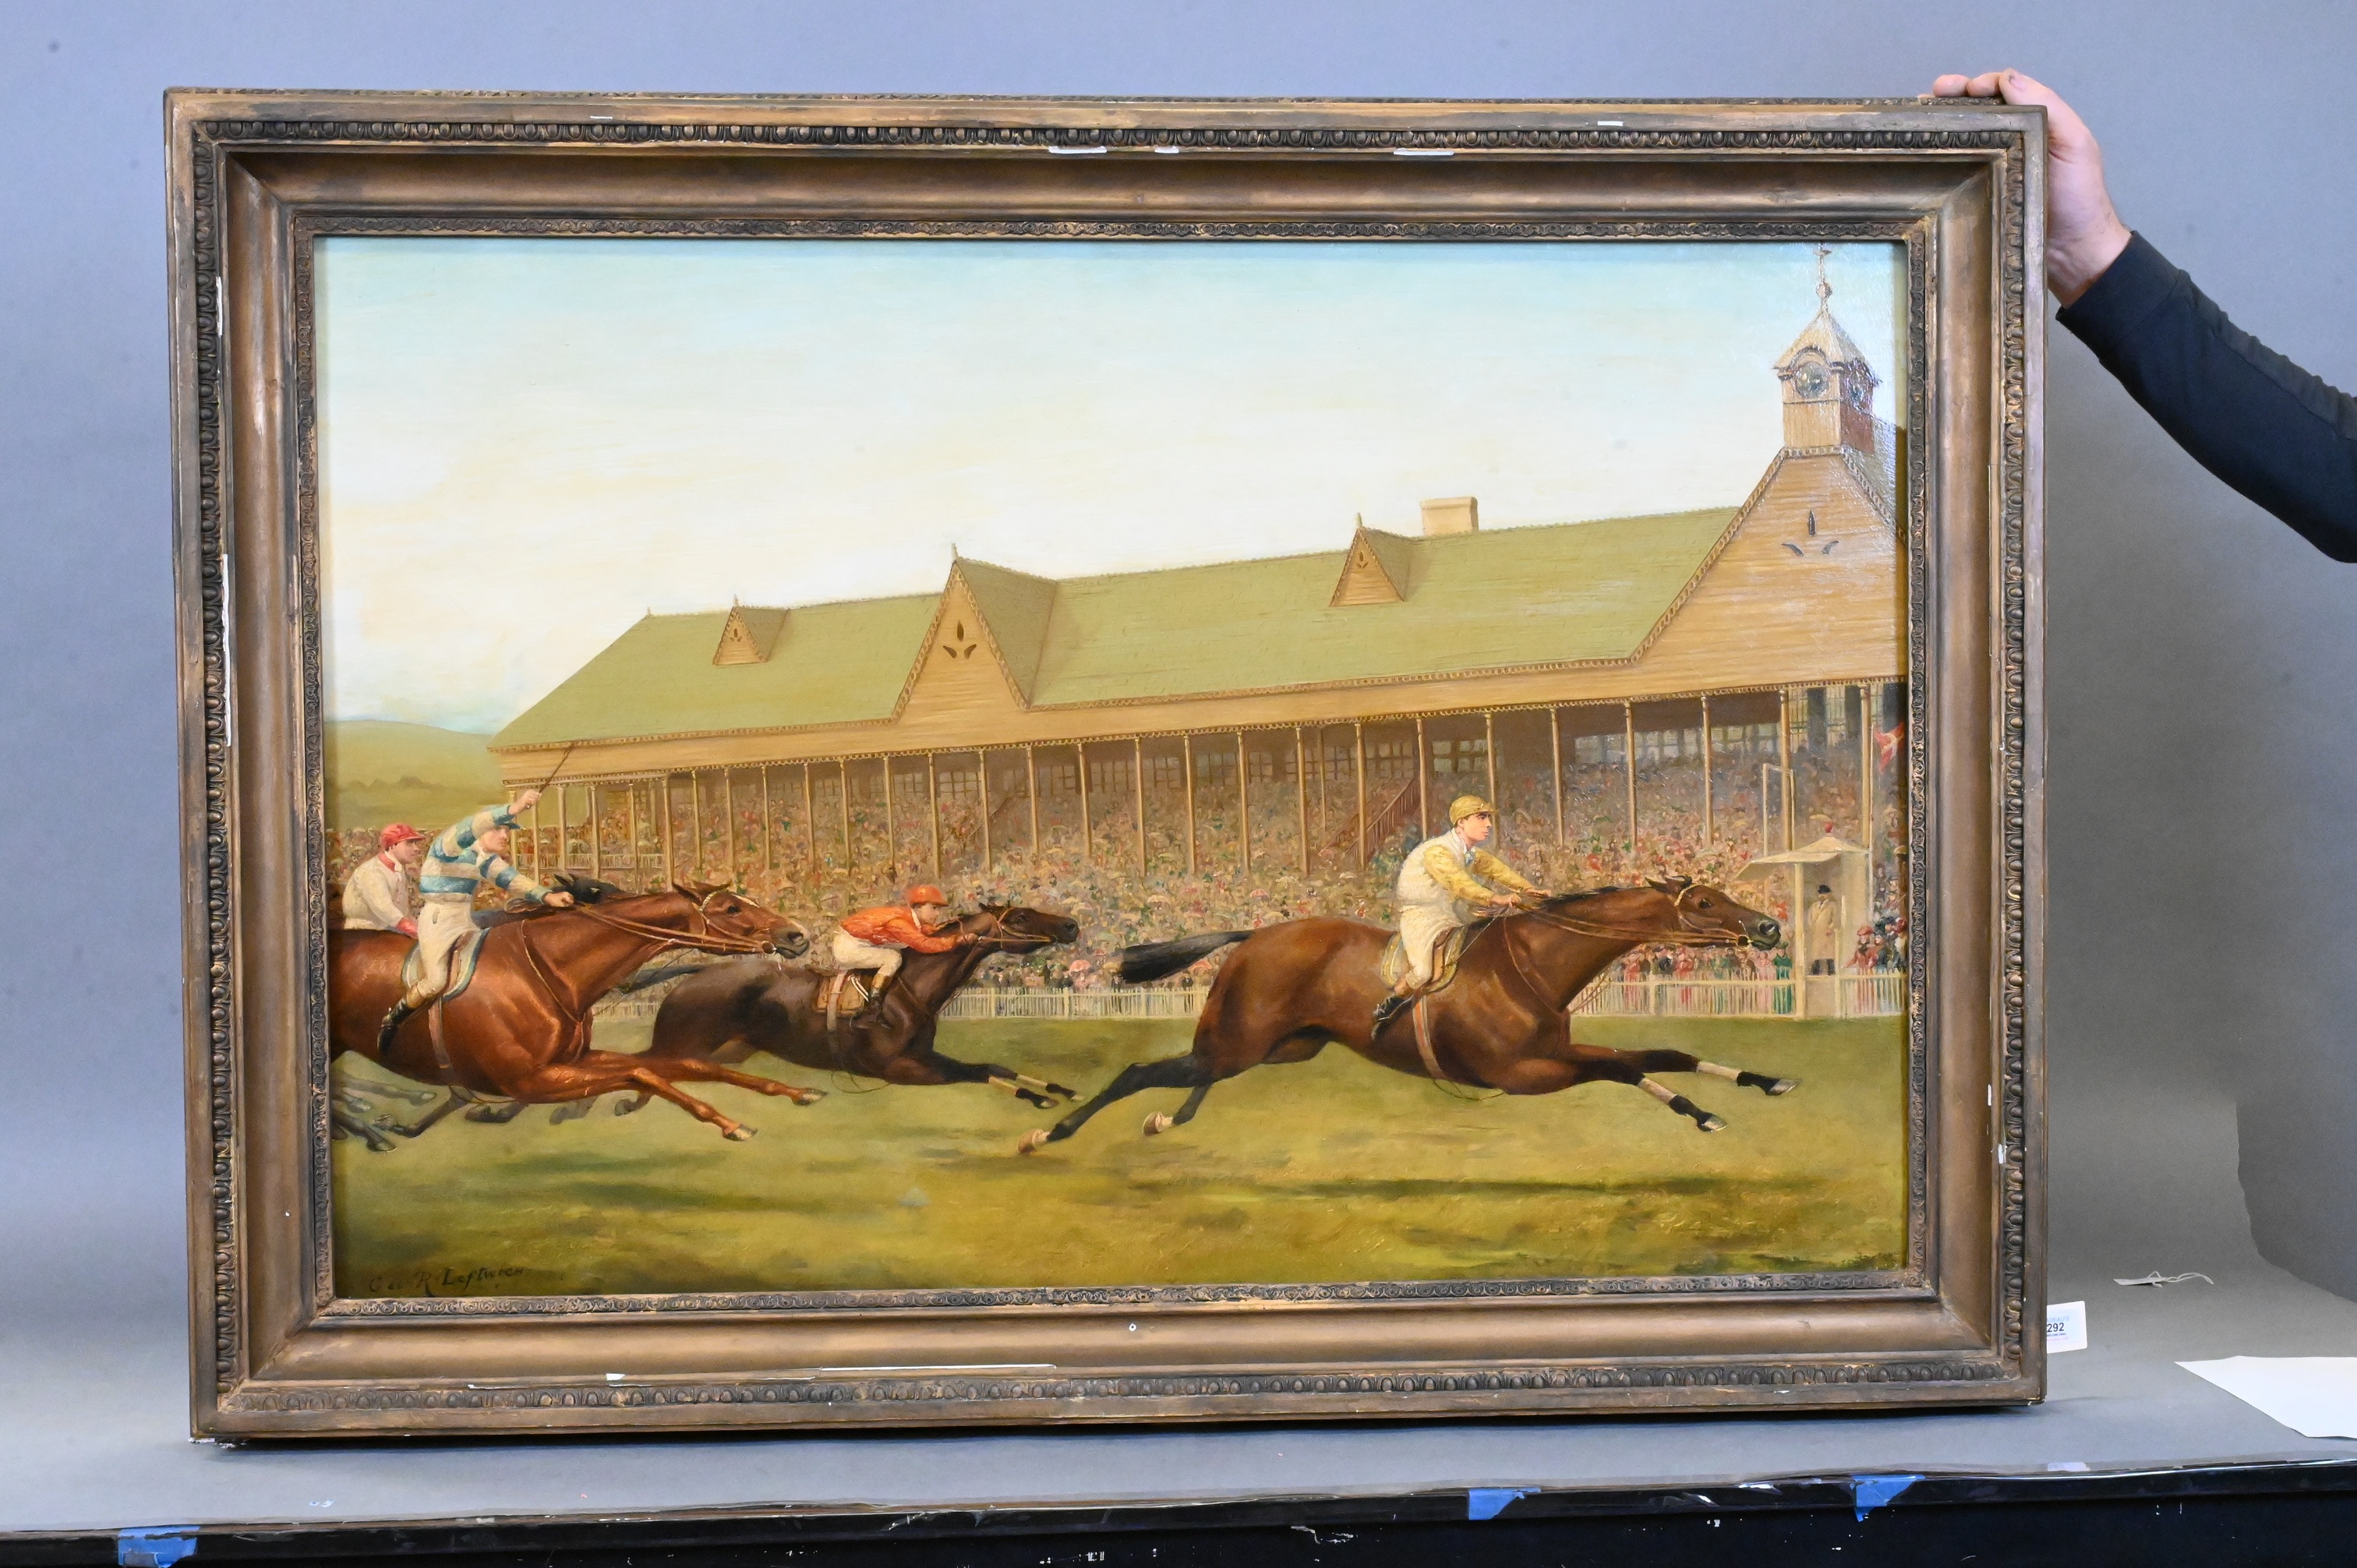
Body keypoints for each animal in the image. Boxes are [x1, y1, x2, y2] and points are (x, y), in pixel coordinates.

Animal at [328, 882, 820, 1145]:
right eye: (732, 907)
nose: (798, 935)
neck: (546, 971)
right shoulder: (528, 1080)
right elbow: (645, 1074)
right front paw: (729, 1123)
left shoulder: (574, 1060)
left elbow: (682, 1065)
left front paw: (796, 1091)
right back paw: (374, 1129)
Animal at [616, 904, 1084, 1114]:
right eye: (1020, 917)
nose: (1071, 925)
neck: (907, 992)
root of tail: (697, 972)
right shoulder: (900, 1069)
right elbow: (977, 1073)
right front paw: (1038, 1098)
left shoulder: (922, 1056)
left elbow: (992, 1067)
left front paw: (1061, 1089)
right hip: (682, 1042)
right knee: (639, 1064)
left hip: (723, 1053)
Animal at [1019, 879, 1792, 1152]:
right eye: (1704, 902)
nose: (1770, 929)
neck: (1532, 964)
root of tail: (1253, 935)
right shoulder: (1525, 1073)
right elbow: (1630, 1068)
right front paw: (1703, 1112)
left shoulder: (1548, 1060)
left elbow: (1664, 1055)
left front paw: (1763, 1080)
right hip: (1241, 1041)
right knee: (1136, 1071)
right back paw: (1049, 1133)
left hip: (1280, 1046)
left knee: (1189, 1077)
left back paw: (1165, 1121)